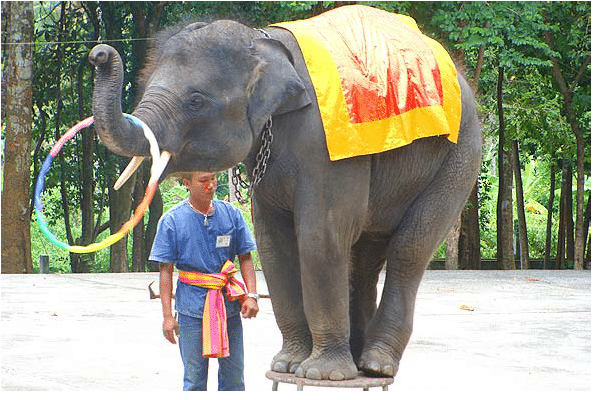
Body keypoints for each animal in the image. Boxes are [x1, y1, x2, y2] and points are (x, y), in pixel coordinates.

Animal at [89, 5, 480, 382]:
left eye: (196, 101)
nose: (99, 53)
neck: (261, 42)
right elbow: (272, 243)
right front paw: (286, 366)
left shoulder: (324, 145)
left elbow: (320, 238)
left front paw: (322, 373)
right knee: (365, 256)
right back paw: (359, 363)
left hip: (459, 156)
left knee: (408, 250)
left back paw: (375, 366)